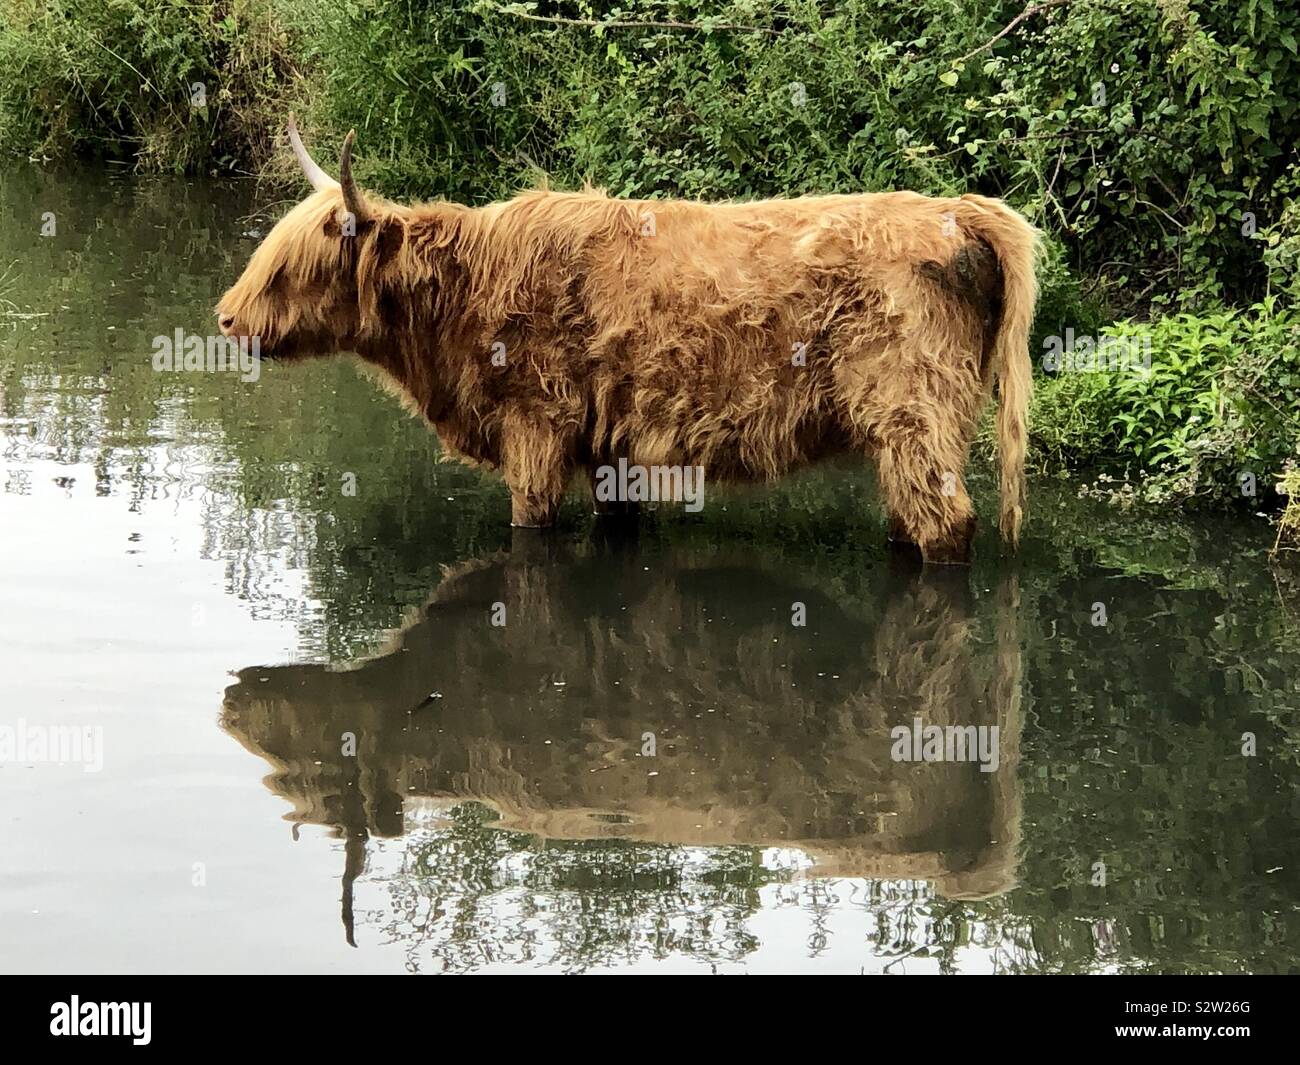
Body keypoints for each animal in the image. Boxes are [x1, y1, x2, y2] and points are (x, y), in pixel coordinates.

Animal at [217, 117, 1039, 563]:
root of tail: (957, 212)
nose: (224, 319)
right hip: (906, 432)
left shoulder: (535, 430)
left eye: (295, 266)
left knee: (946, 523)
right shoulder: (611, 444)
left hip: (914, 412)